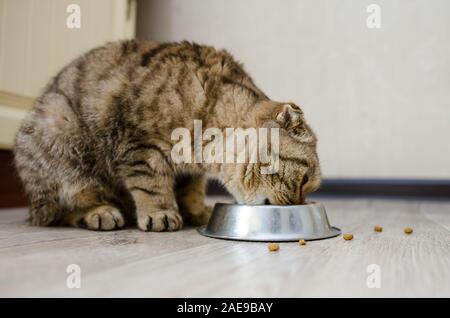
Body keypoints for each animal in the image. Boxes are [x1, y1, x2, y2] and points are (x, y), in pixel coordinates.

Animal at [14, 41, 322, 232]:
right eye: (304, 180)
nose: (297, 205)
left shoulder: (190, 171)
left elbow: (190, 190)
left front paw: (196, 211)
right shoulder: (141, 145)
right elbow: (151, 184)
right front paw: (160, 212)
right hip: (61, 139)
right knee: (57, 211)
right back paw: (99, 212)